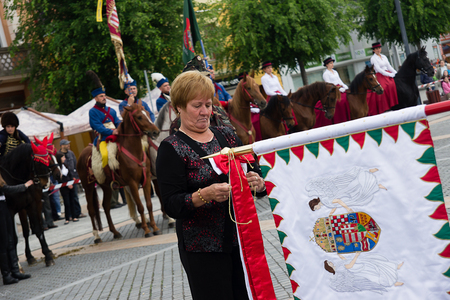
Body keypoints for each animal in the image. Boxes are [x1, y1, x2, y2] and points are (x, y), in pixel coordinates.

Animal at [76, 103, 161, 244]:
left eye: (148, 114)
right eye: (139, 117)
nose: (156, 131)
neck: (134, 151)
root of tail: (82, 154)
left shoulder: (147, 180)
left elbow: (149, 204)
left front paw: (154, 227)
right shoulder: (132, 183)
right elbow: (140, 206)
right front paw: (147, 230)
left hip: (106, 186)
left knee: (105, 206)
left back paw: (115, 232)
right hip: (88, 187)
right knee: (91, 210)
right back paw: (96, 236)